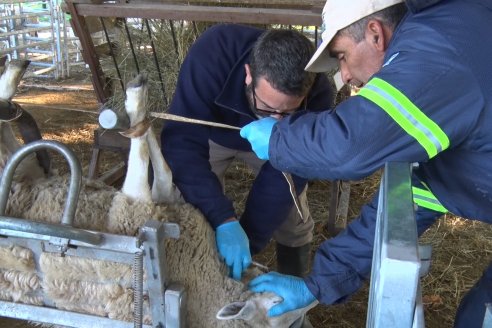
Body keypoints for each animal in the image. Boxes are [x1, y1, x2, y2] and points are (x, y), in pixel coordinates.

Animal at [0, 68, 316, 326]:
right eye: (277, 304)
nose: (310, 295)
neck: (199, 274)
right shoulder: (136, 208)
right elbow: (156, 165)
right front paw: (140, 105)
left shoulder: (145, 205)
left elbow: (160, 170)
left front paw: (140, 109)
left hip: (22, 173)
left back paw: (13, 75)